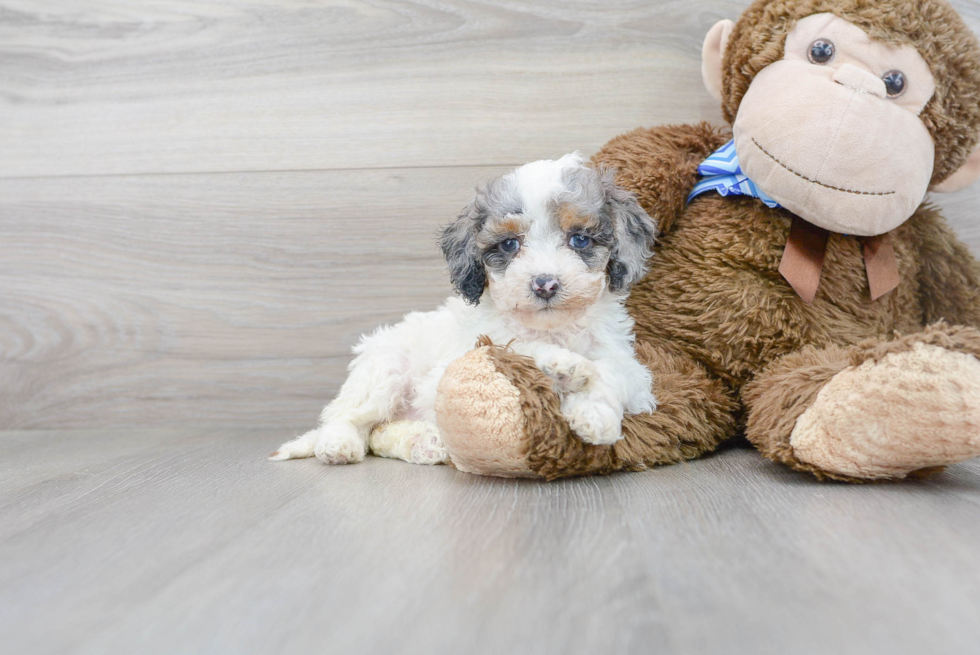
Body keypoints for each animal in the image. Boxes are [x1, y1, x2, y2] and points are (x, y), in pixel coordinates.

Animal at [270, 154, 660, 466]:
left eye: (580, 239)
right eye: (509, 244)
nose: (545, 284)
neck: (553, 328)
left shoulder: (628, 364)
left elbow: (614, 373)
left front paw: (595, 414)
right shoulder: (474, 349)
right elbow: (516, 348)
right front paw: (562, 366)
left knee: (381, 433)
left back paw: (424, 443)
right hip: (384, 369)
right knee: (349, 418)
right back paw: (339, 444)